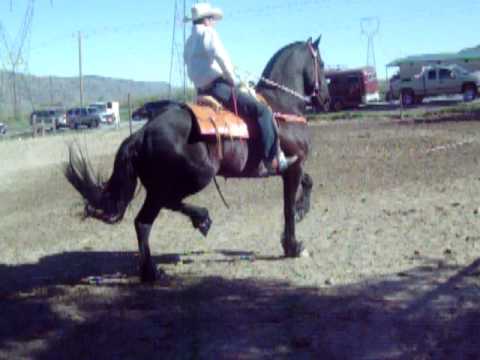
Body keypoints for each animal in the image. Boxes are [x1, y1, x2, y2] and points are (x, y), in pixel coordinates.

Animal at [65, 35, 330, 282]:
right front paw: (294, 246)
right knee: (149, 217)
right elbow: (287, 206)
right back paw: (176, 245)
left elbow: (308, 183)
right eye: (322, 64)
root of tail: (142, 133)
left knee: (149, 217)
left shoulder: (292, 166)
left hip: (165, 185)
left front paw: (301, 211)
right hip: (194, 177)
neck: (281, 106)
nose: (326, 100)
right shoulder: (292, 168)